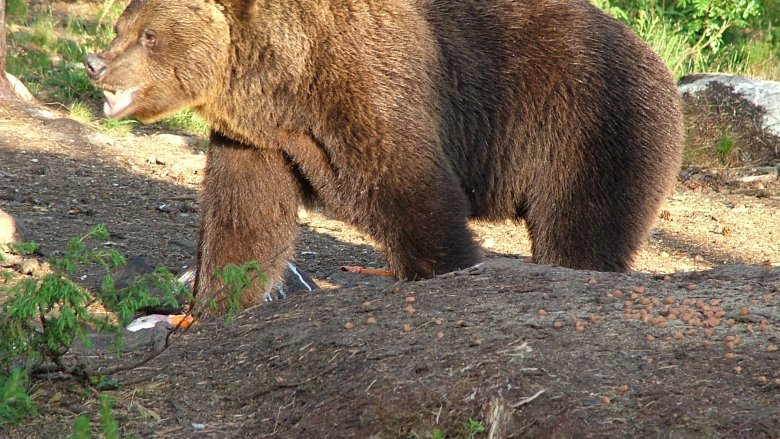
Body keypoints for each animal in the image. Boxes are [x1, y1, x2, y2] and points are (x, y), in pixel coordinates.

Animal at [84, 0, 684, 312]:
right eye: (121, 26)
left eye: (150, 35)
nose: (96, 64)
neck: (287, 85)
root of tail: (661, 65)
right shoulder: (260, 139)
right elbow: (244, 218)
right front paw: (214, 304)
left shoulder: (372, 90)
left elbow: (413, 193)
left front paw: (445, 269)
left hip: (590, 127)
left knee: (581, 230)